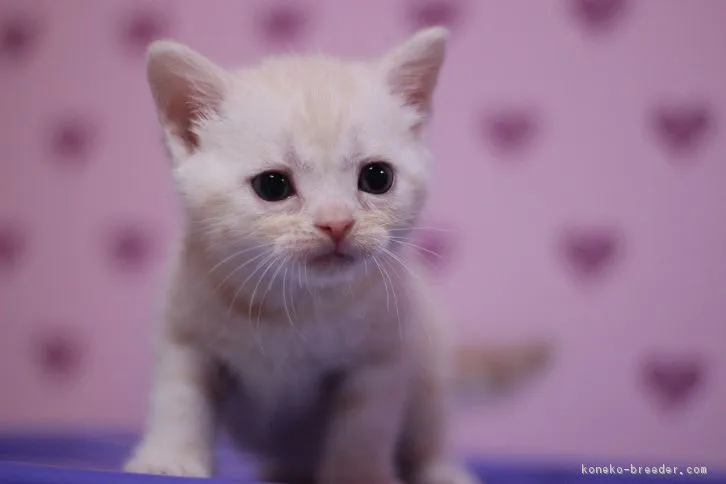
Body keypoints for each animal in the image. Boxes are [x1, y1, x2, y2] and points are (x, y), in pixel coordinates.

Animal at [123, 29, 484, 484]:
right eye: (273, 185)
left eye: (377, 177)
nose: (337, 223)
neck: (293, 306)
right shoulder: (184, 335)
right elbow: (179, 399)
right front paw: (169, 458)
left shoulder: (380, 358)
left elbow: (363, 426)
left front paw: (358, 474)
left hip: (431, 365)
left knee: (430, 434)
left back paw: (442, 471)